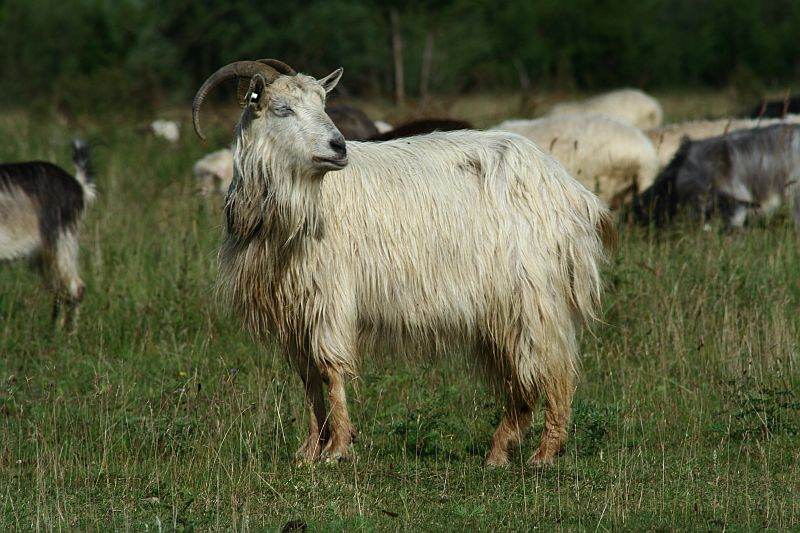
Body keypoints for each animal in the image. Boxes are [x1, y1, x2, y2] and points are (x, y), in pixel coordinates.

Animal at [192, 59, 615, 467]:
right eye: (282, 108)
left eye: (323, 104)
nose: (338, 147)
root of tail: (573, 192)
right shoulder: (292, 308)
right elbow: (308, 377)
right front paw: (309, 451)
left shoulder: (328, 297)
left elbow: (329, 370)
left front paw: (337, 449)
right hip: (503, 309)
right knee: (520, 379)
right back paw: (498, 453)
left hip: (534, 297)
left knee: (553, 368)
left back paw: (544, 454)